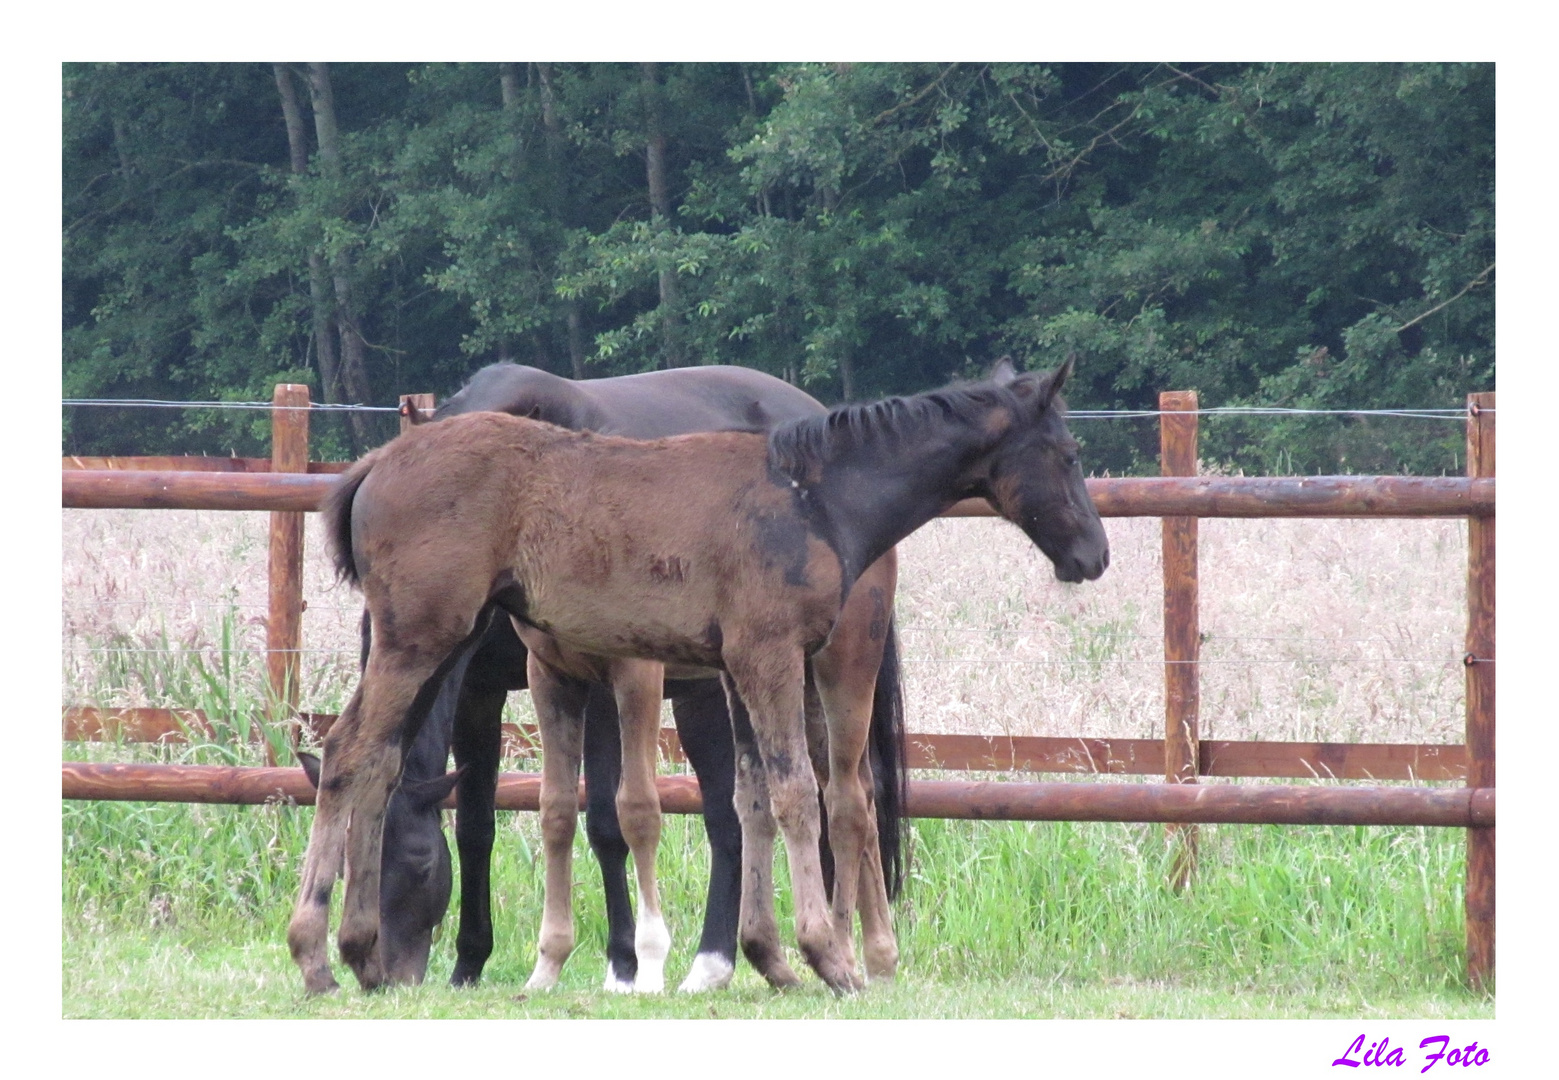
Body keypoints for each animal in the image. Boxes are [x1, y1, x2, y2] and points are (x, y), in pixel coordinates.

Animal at [286, 355, 1103, 991]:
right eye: (1067, 454)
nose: (1092, 555)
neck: (810, 496)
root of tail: (375, 464)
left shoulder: (736, 667)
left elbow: (750, 800)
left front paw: (771, 958)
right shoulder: (762, 655)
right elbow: (789, 795)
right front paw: (818, 957)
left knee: (375, 759)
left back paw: (354, 954)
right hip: (421, 640)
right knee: (351, 752)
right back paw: (319, 955)